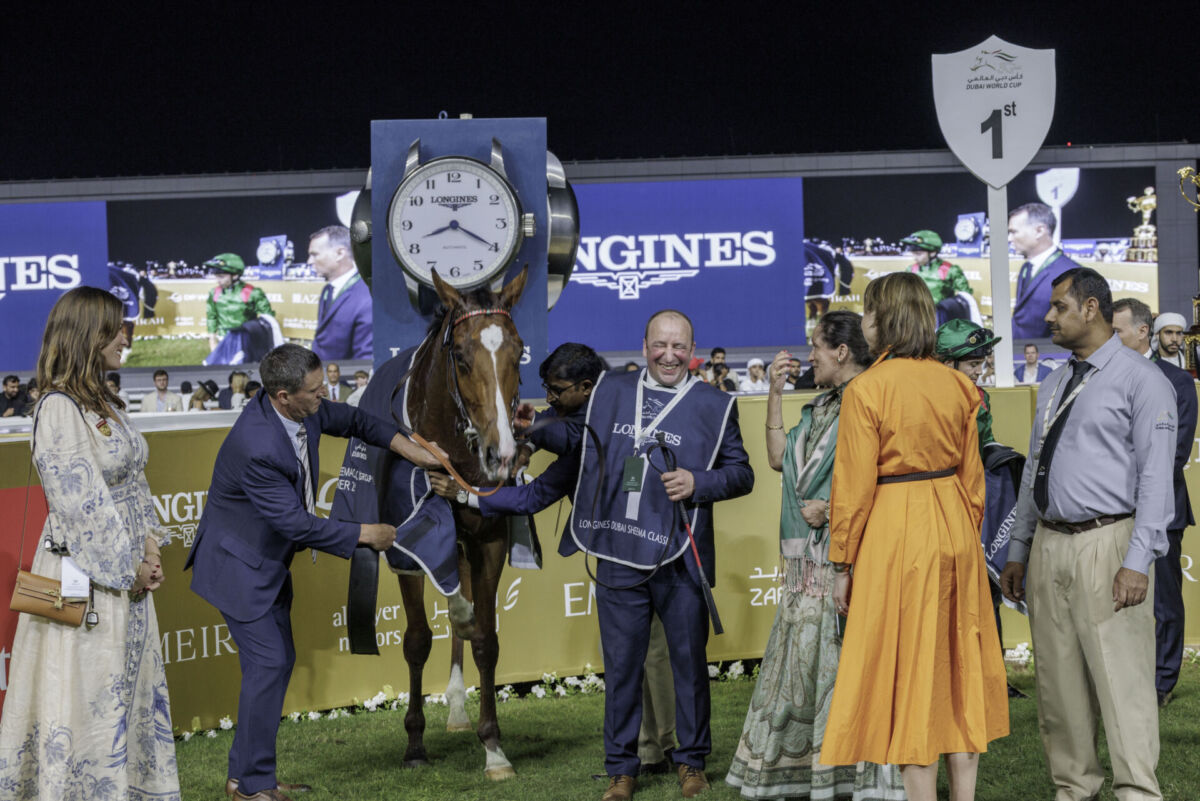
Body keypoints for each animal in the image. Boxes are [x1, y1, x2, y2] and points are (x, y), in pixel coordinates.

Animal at [395, 266, 527, 780]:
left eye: (518, 350)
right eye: (461, 356)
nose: (502, 454)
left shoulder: (488, 541)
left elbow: (486, 641)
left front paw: (494, 749)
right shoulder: (407, 549)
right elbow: (417, 640)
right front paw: (414, 743)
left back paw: (456, 706)